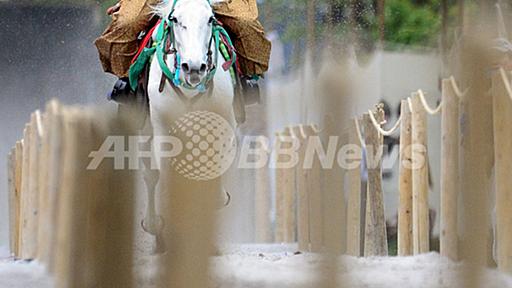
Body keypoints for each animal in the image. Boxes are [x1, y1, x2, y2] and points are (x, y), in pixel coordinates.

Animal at [140, 0, 236, 244]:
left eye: (210, 19)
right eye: (175, 19)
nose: (193, 67)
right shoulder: (163, 128)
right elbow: (164, 176)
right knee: (150, 174)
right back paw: (155, 225)